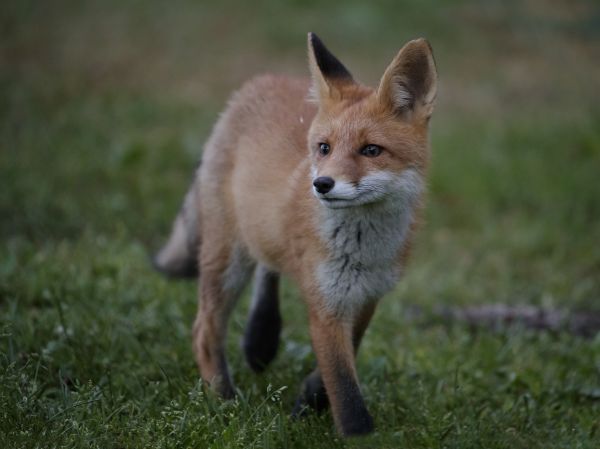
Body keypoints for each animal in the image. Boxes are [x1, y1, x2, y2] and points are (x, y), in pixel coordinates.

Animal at [154, 33, 436, 436]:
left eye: (371, 150)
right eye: (324, 148)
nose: (322, 184)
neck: (364, 251)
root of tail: (255, 84)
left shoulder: (368, 295)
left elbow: (345, 355)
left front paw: (308, 399)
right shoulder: (326, 301)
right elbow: (345, 388)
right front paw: (357, 435)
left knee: (267, 264)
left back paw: (261, 338)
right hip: (226, 258)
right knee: (204, 330)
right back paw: (222, 399)